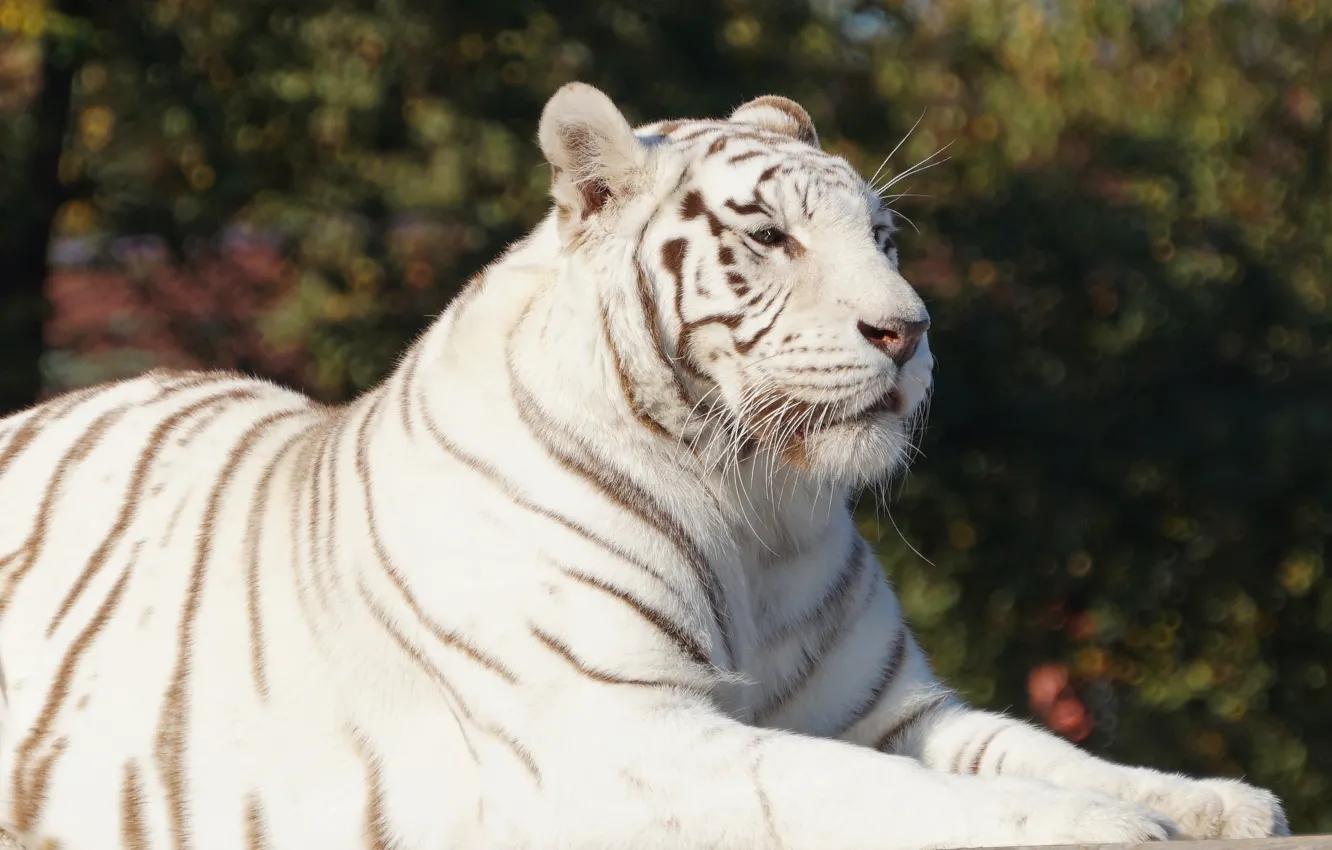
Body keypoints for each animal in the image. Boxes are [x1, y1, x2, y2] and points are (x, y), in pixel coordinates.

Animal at [0, 82, 1289, 850]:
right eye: (769, 236)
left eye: (881, 237)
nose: (909, 331)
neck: (755, 508)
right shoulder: (629, 735)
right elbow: (904, 795)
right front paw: (1099, 829)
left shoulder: (887, 709)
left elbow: (1044, 747)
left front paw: (1213, 801)